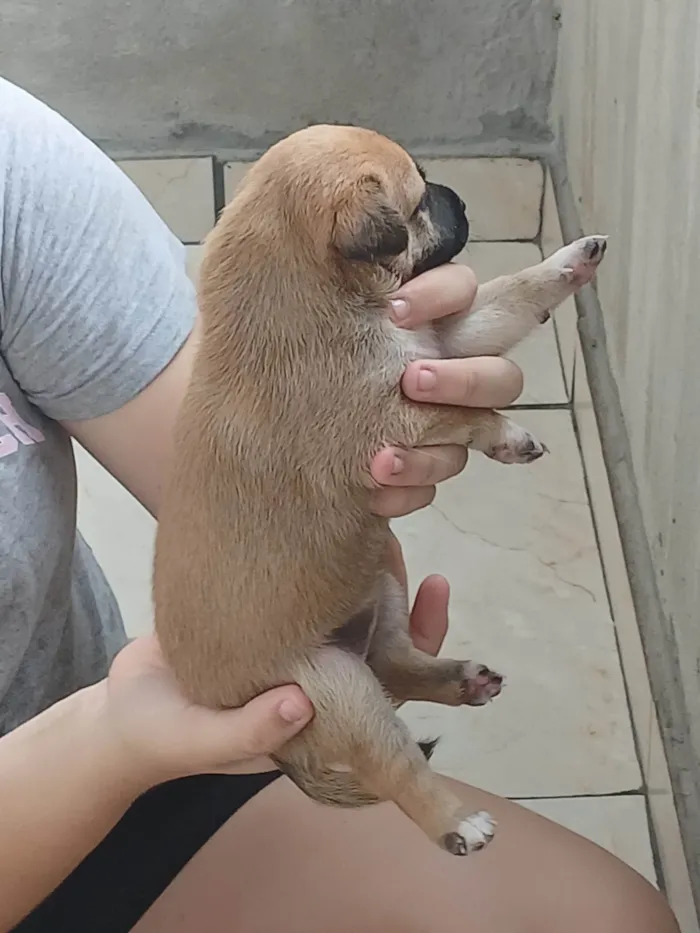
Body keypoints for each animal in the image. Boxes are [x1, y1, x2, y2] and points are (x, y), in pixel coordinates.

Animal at [154, 125, 608, 860]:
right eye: (419, 204)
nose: (460, 197)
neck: (319, 294)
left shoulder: (437, 343)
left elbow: (507, 295)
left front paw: (571, 261)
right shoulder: (402, 415)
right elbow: (466, 412)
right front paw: (509, 433)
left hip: (380, 590)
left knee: (394, 662)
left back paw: (459, 678)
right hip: (337, 689)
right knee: (394, 763)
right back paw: (456, 821)